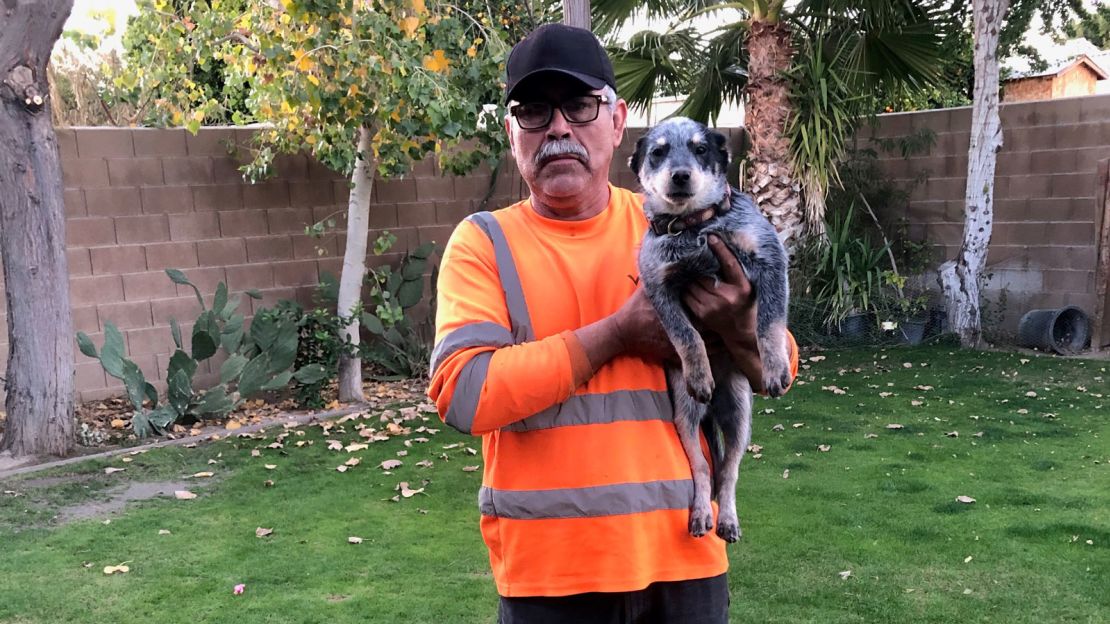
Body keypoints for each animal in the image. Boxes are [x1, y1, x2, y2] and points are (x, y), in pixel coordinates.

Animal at [630, 115, 794, 539]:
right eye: (658, 152)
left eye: (700, 148)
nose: (680, 175)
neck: (693, 228)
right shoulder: (660, 288)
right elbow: (687, 337)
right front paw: (699, 372)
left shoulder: (771, 260)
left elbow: (769, 324)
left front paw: (776, 367)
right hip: (685, 416)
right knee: (704, 469)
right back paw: (703, 514)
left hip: (739, 414)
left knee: (730, 473)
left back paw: (729, 519)